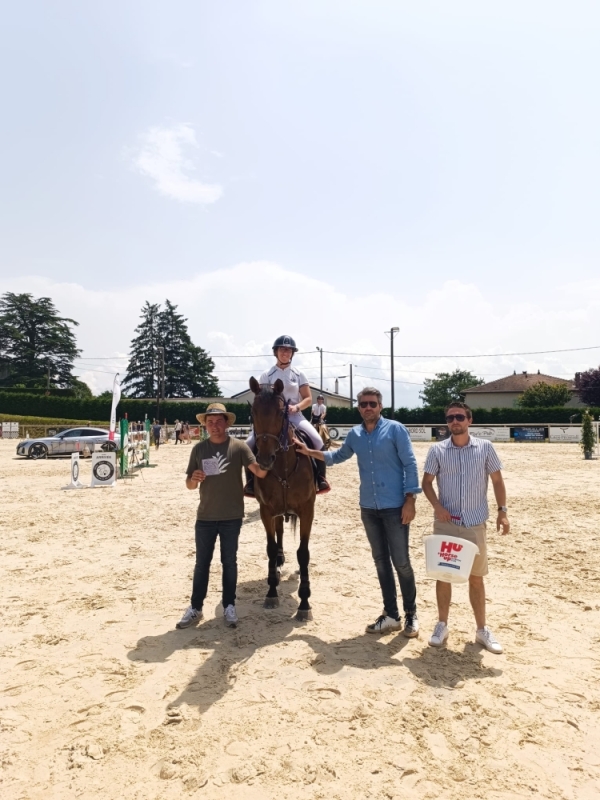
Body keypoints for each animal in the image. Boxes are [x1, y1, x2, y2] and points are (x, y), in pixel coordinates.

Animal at [247, 378, 316, 620]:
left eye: (280, 412)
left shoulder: (307, 510)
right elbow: (270, 547)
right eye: (253, 412)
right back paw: (277, 565)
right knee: (279, 534)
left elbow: (303, 553)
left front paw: (304, 602)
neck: (282, 466)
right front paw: (271, 592)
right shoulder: (266, 510)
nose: (264, 459)